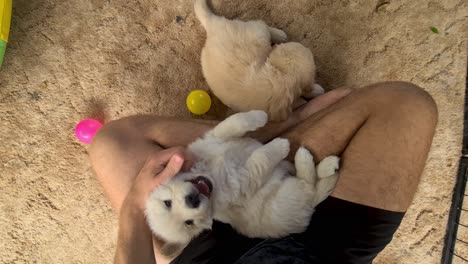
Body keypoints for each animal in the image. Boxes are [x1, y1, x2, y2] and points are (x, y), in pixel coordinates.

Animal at [144, 110, 338, 256]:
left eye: (167, 203)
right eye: (189, 223)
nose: (192, 201)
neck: (211, 175)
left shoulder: (213, 138)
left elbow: (234, 122)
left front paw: (260, 116)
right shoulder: (244, 178)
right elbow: (261, 158)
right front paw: (280, 146)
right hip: (287, 197)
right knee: (309, 185)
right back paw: (311, 160)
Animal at [193, 0, 322, 121]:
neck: (285, 75)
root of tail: (213, 26)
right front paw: (318, 90)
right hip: (257, 32)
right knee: (262, 24)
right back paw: (279, 35)